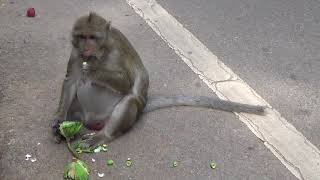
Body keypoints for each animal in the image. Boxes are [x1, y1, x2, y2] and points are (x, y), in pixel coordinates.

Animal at [52, 11, 264, 148]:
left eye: (92, 37)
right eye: (81, 36)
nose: (86, 48)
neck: (99, 52)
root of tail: (92, 122)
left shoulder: (116, 53)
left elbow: (125, 84)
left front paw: (93, 70)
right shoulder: (75, 52)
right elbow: (71, 81)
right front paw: (58, 120)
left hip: (124, 115)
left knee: (130, 100)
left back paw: (104, 135)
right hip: (82, 114)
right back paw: (64, 128)